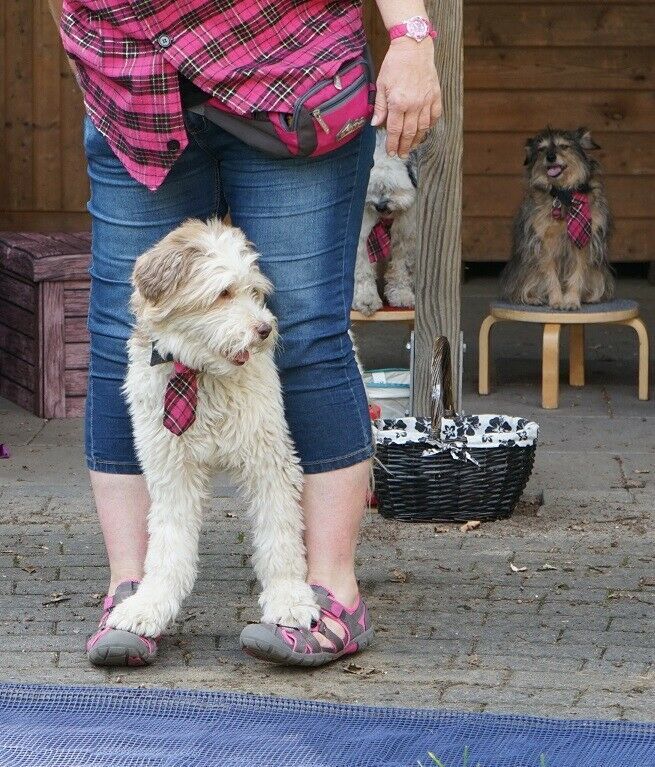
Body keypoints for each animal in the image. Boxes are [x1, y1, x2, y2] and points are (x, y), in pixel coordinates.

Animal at [105, 219, 320, 640]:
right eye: (223, 293)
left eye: (255, 291)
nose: (265, 329)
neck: (200, 377)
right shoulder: (170, 469)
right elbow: (167, 546)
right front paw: (148, 606)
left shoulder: (270, 460)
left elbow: (281, 535)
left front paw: (289, 599)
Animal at [354, 130, 420, 316]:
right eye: (372, 188)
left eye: (392, 185)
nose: (381, 205)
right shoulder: (362, 241)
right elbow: (362, 272)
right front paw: (366, 299)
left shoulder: (405, 241)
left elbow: (400, 270)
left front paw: (401, 295)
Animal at [502, 127, 616, 308]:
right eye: (541, 149)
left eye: (564, 146)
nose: (550, 157)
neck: (563, 194)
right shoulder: (544, 242)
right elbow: (550, 276)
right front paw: (556, 300)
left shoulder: (584, 241)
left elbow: (578, 273)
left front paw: (572, 300)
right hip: (525, 270)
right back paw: (533, 298)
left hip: (598, 275)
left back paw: (589, 297)